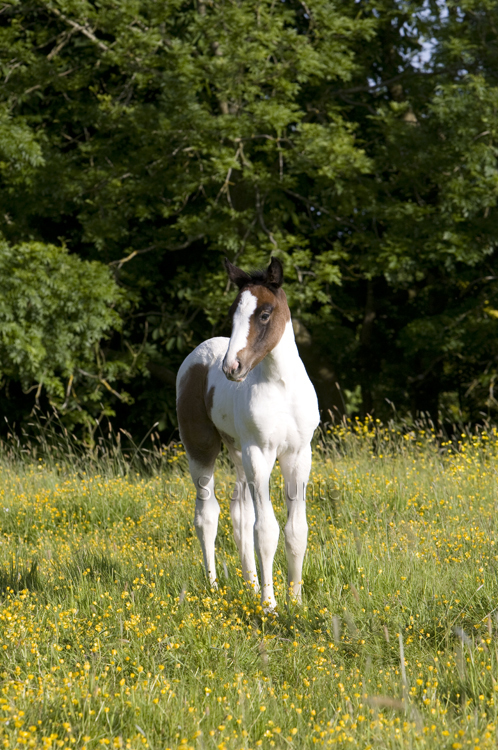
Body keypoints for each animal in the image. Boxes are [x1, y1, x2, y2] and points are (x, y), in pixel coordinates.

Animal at [177, 258, 320, 612]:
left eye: (265, 314)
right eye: (233, 314)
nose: (232, 367)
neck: (281, 387)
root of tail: (197, 354)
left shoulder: (299, 455)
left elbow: (296, 530)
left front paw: (295, 602)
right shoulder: (260, 453)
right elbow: (266, 530)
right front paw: (270, 606)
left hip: (238, 451)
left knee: (239, 513)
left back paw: (251, 589)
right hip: (201, 450)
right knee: (207, 515)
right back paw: (215, 588)